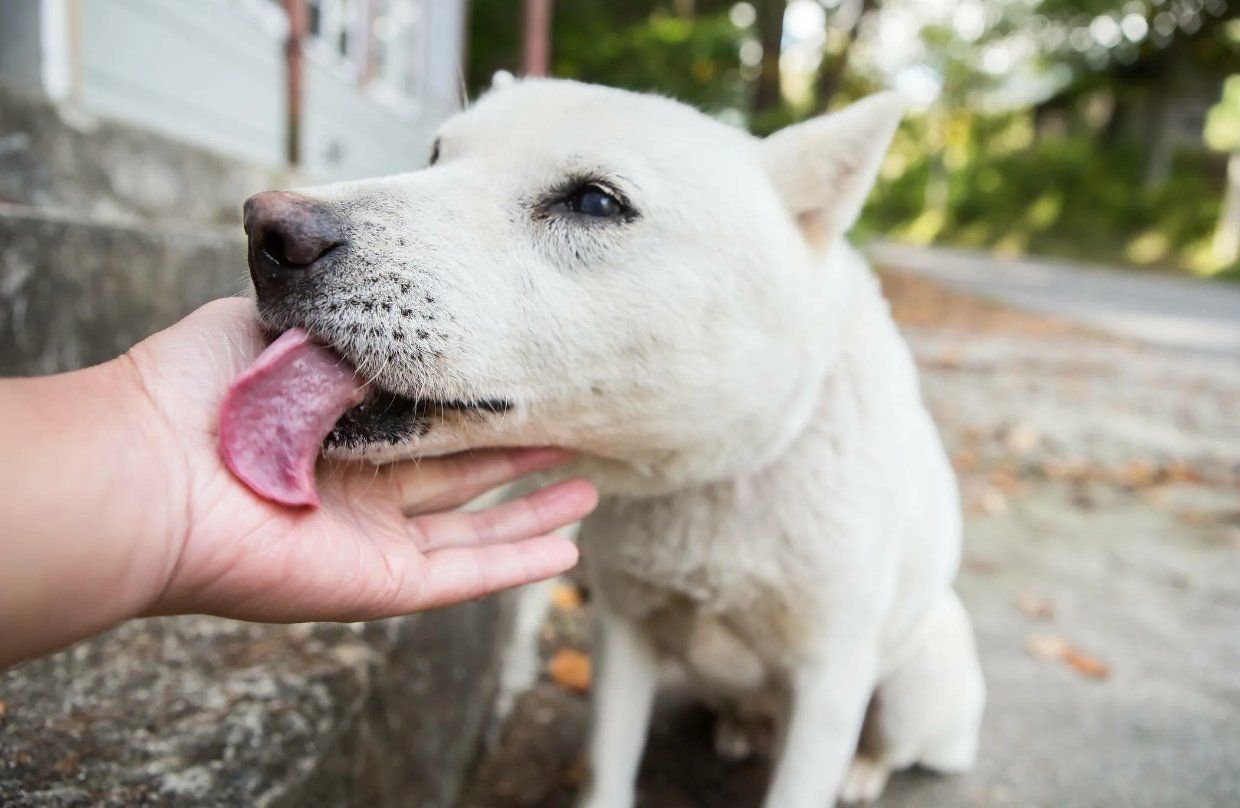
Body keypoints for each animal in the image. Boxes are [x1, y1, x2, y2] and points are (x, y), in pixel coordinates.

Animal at [236, 77, 982, 808]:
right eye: (436, 155)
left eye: (596, 201)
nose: (266, 231)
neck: (711, 480)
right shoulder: (623, 634)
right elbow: (608, 763)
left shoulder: (829, 678)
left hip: (916, 677)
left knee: (895, 744)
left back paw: (861, 772)